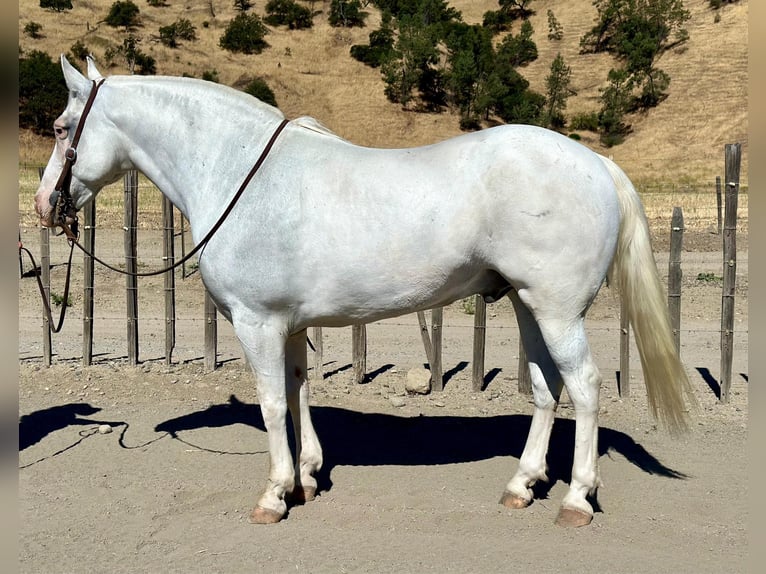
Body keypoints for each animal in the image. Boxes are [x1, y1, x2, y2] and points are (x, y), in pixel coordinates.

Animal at [34, 55, 695, 527]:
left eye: (62, 128)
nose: (44, 205)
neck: (240, 172)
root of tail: (595, 163)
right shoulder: (290, 325)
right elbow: (298, 392)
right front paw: (306, 477)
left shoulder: (257, 322)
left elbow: (272, 403)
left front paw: (274, 495)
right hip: (529, 306)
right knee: (544, 388)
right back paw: (522, 485)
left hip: (558, 311)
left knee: (584, 388)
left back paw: (576, 500)